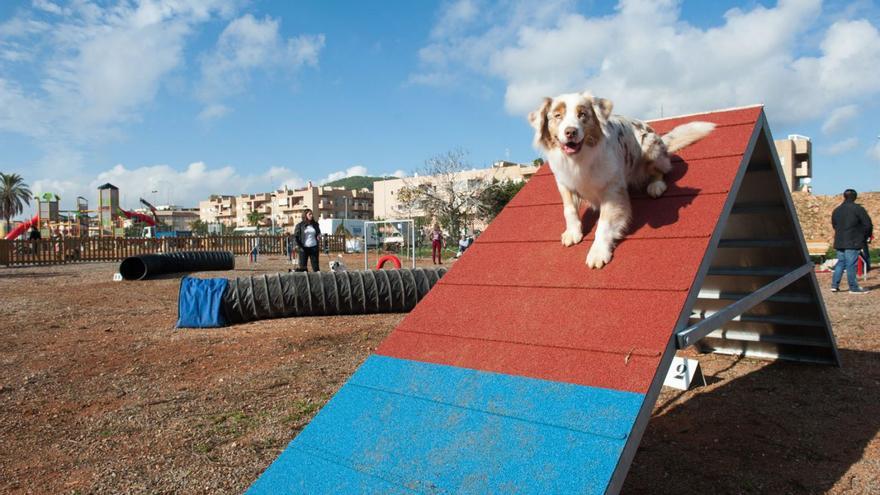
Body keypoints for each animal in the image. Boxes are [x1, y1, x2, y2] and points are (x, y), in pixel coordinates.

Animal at [528, 91, 716, 270]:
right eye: (557, 115)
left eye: (582, 114)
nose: (570, 132)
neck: (578, 160)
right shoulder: (564, 182)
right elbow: (569, 209)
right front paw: (573, 232)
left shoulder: (612, 189)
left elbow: (604, 224)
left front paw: (598, 252)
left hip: (649, 144)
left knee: (661, 170)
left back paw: (656, 186)